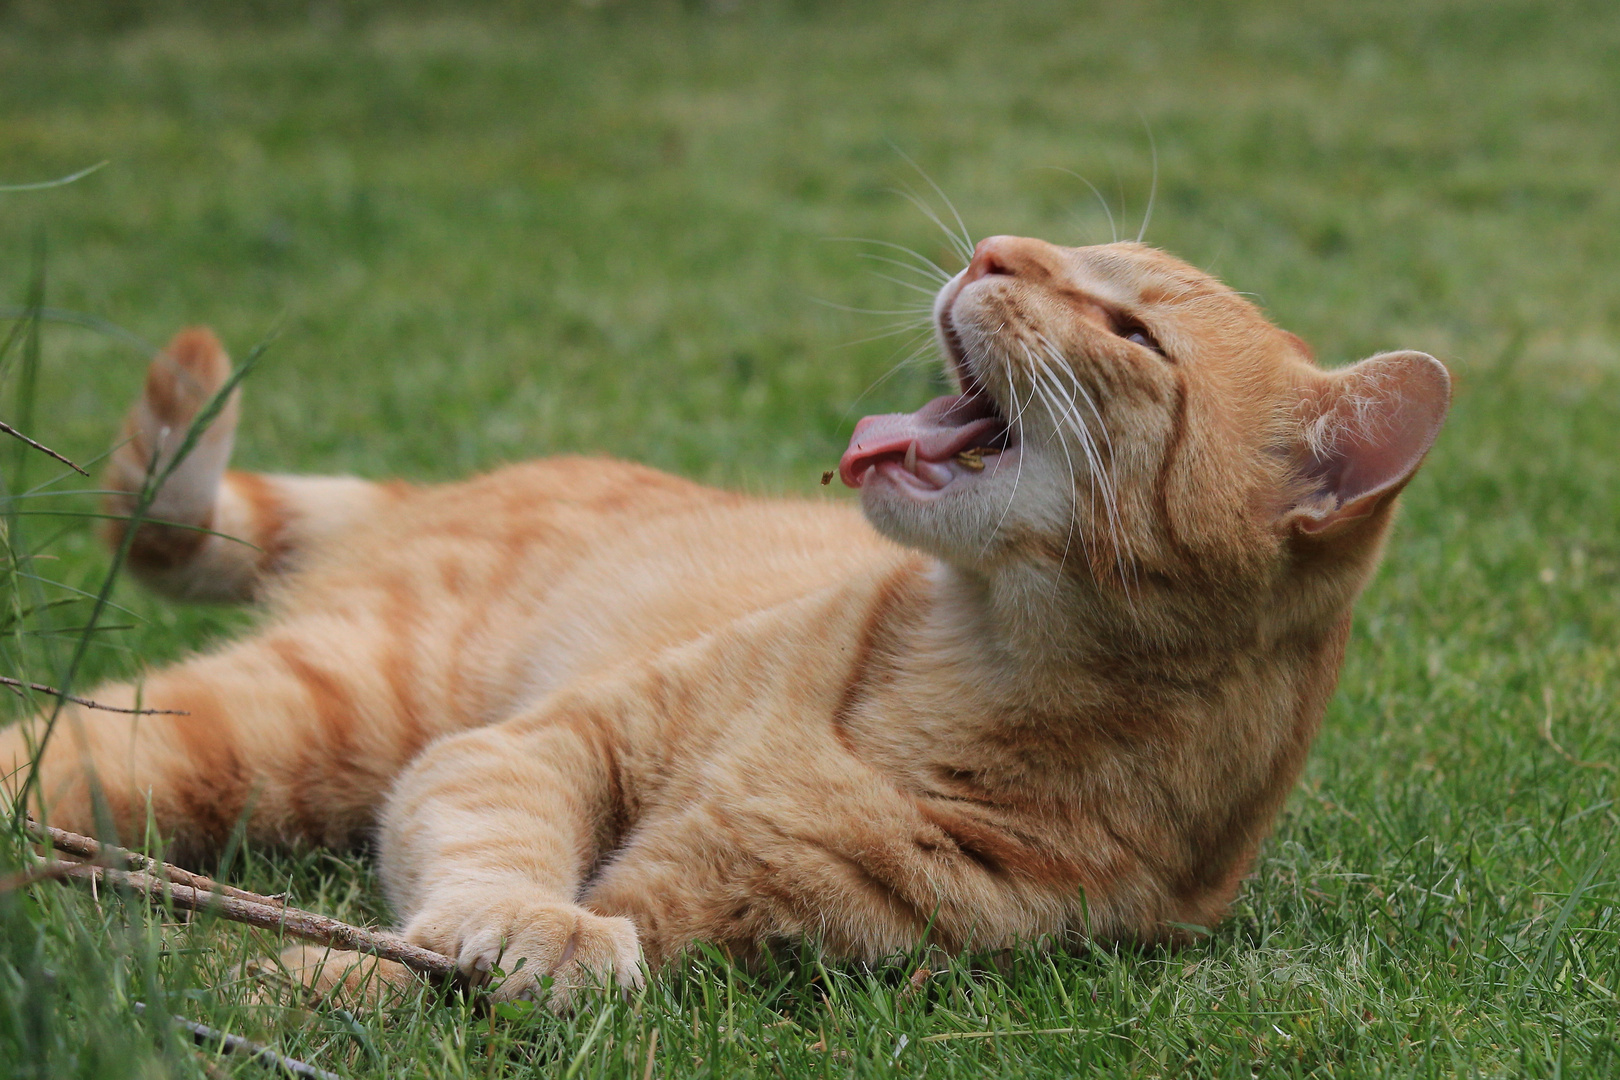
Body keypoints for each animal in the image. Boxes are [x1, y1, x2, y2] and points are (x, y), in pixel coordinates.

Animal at [0, 241, 1445, 1010]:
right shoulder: (531, 750)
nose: (992, 251)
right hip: (287, 726)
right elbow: (483, 871)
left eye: (1134, 331)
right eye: (1066, 256)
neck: (961, 683)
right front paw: (501, 933)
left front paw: (267, 989)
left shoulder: (711, 922)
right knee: (47, 753)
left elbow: (386, 976)